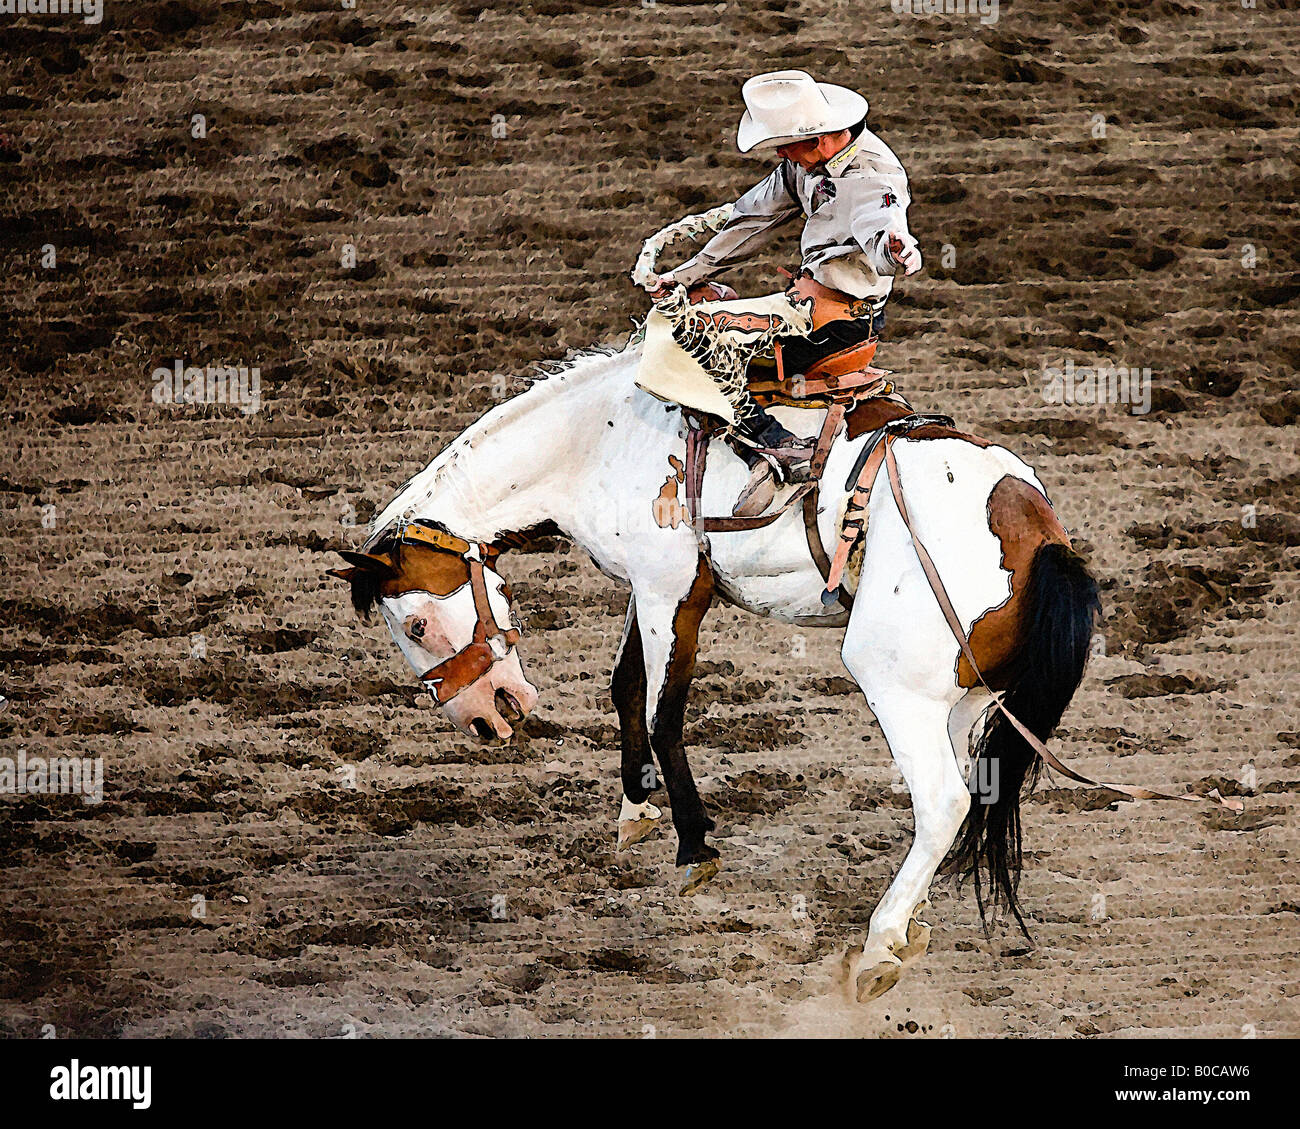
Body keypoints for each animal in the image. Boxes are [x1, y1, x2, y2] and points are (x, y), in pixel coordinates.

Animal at [330, 340, 1102, 998]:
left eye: (417, 625)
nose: (487, 718)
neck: (602, 437)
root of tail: (1035, 527)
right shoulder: (646, 586)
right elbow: (626, 686)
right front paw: (635, 813)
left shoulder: (673, 589)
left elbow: (661, 711)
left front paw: (695, 845)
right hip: (970, 696)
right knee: (972, 786)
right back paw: (912, 925)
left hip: (895, 683)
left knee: (943, 801)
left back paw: (881, 945)